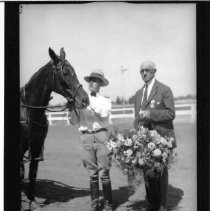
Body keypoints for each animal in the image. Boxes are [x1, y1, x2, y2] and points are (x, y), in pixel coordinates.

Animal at [19, 47, 88, 207]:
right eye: (65, 73)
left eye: (74, 71)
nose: (85, 99)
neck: (29, 110)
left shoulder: (36, 145)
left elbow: (32, 173)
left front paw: (32, 201)